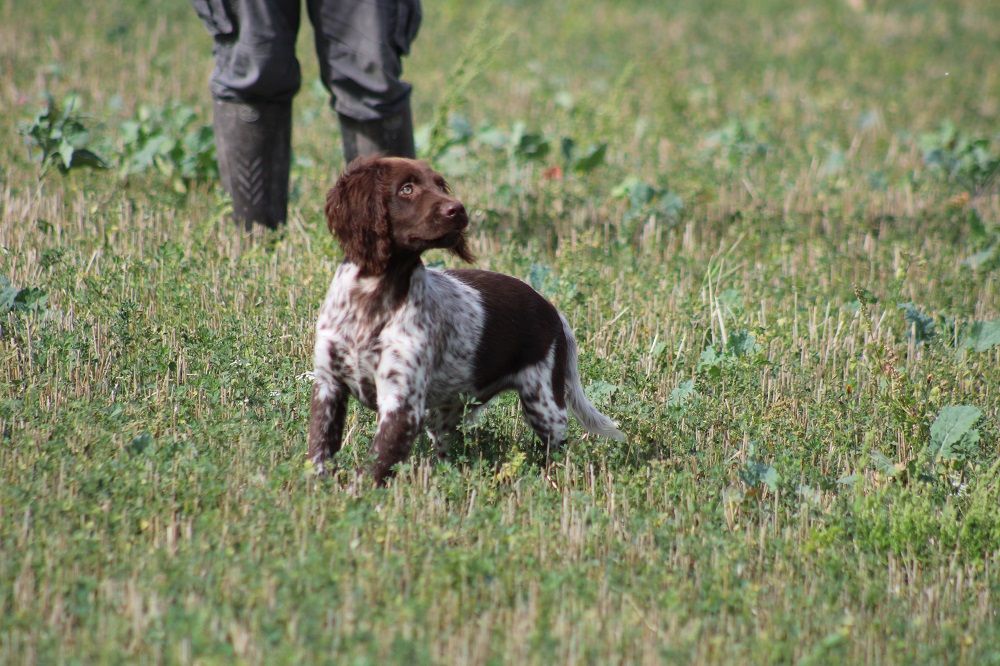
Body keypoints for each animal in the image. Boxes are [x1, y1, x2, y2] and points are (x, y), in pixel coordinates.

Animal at [308, 156, 624, 482]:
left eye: (439, 185)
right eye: (406, 188)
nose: (457, 209)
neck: (373, 298)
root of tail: (552, 310)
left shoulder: (402, 404)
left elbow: (373, 467)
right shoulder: (329, 386)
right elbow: (320, 449)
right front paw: (316, 485)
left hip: (544, 403)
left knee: (557, 449)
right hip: (447, 412)